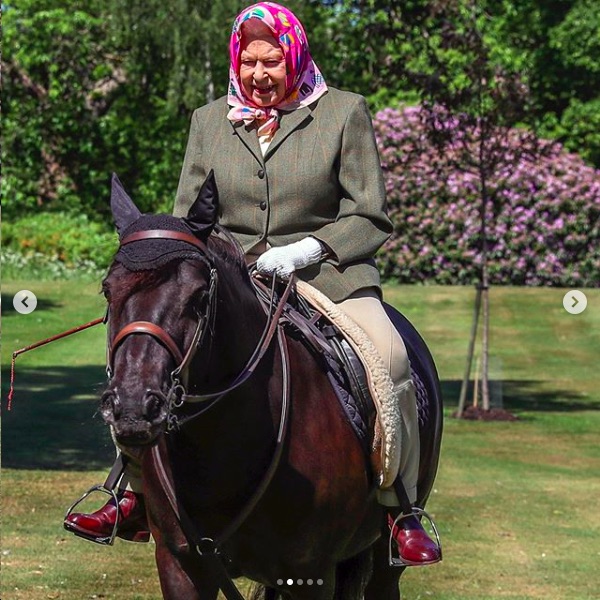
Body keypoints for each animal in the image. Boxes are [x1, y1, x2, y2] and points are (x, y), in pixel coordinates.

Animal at [101, 171, 442, 596]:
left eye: (198, 296)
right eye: (107, 290)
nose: (133, 407)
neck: (221, 446)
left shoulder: (311, 574)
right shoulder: (180, 565)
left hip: (385, 557)